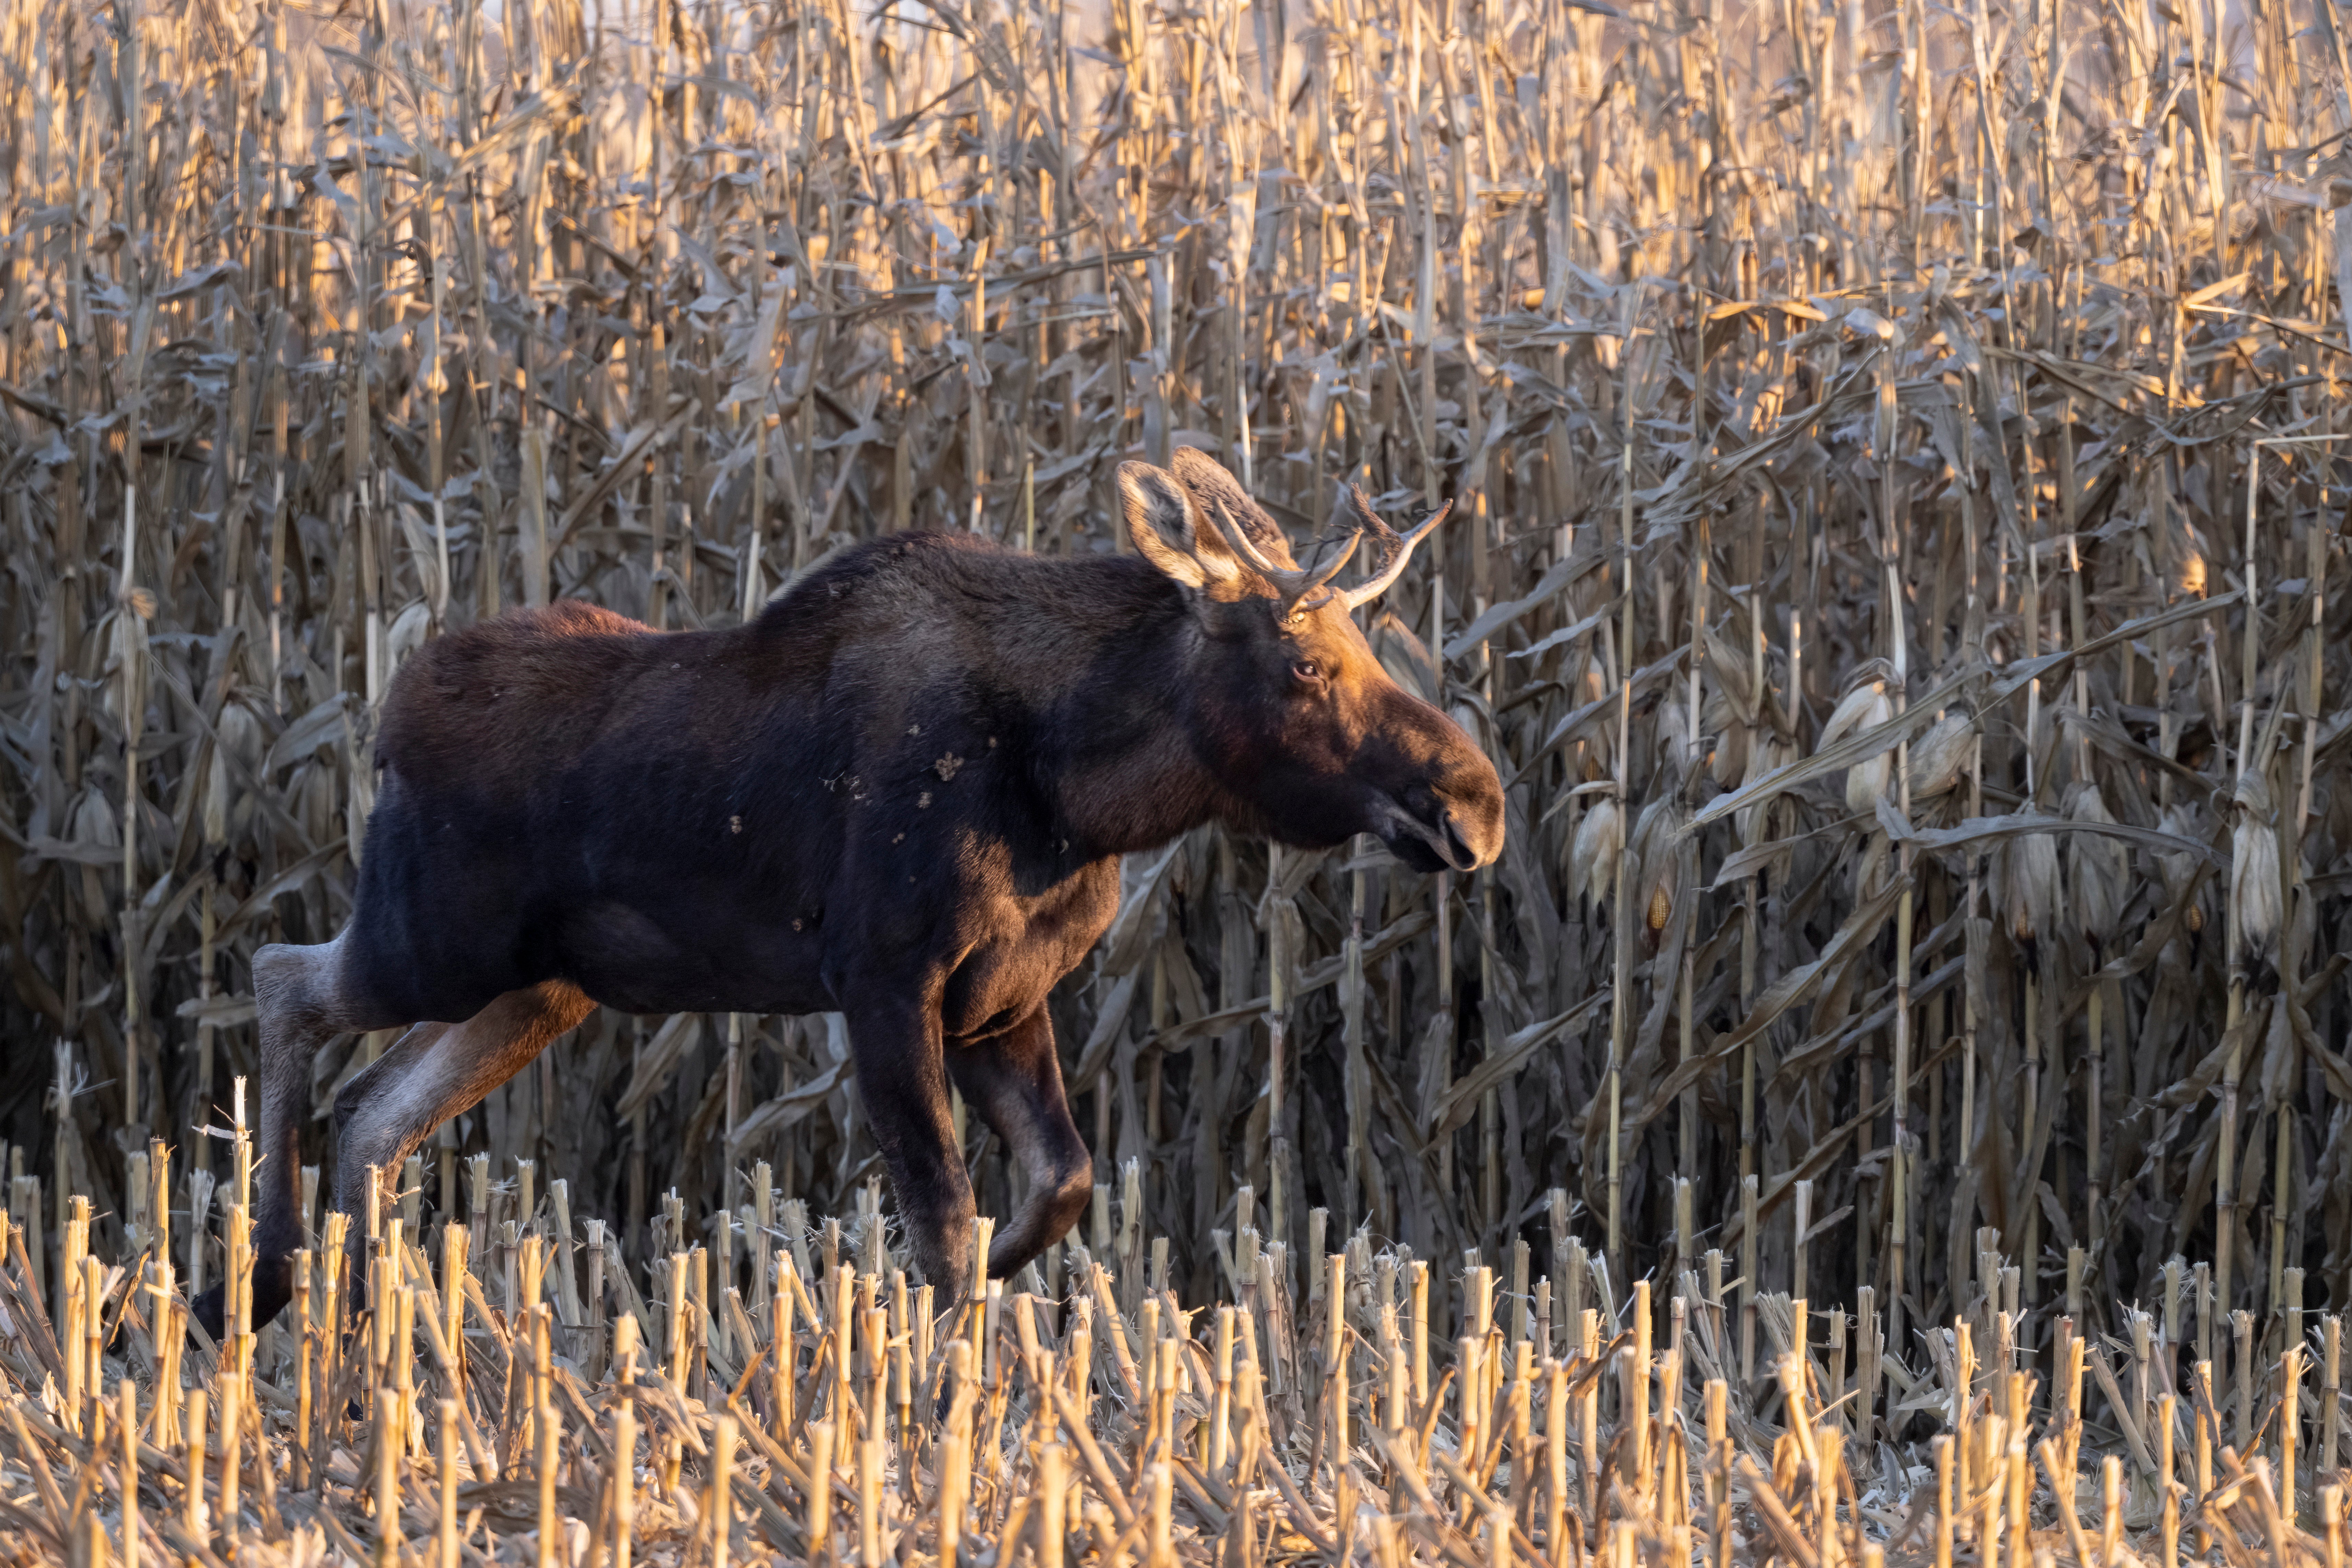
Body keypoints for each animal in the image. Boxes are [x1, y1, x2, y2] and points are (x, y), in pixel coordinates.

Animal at [188, 447, 1505, 1345]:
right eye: (1307, 662)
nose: (1477, 802)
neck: (1080, 789)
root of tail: (386, 720)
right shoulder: (881, 978)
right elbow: (942, 1211)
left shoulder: (1001, 1000)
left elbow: (1059, 1182)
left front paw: (985, 1286)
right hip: (433, 939)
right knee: (283, 980)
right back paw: (255, 1281)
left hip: (542, 988)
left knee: (374, 1111)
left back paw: (360, 1325)